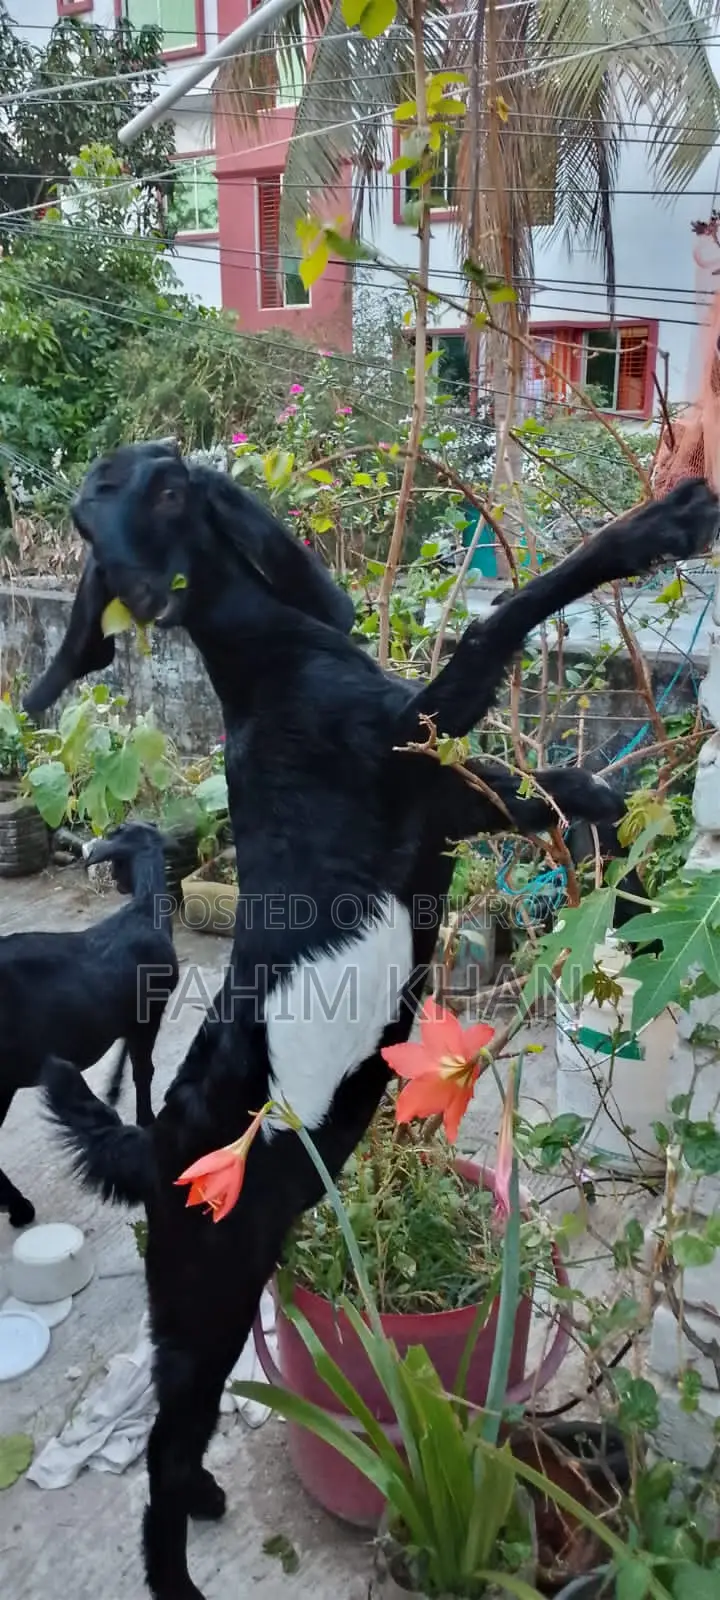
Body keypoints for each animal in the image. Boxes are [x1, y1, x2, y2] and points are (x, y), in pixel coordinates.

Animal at [0, 821, 177, 1228]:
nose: (119, 885)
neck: (145, 909)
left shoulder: (131, 1014)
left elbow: (127, 1055)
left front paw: (112, 1089)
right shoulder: (151, 1010)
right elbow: (143, 1068)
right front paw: (146, 1118)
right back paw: (19, 1207)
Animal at [24, 442, 717, 1600]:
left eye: (157, 491)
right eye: (89, 525)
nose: (143, 594)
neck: (266, 663)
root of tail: (153, 1146)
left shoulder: (471, 792)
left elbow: (582, 792)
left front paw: (632, 899)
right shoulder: (430, 752)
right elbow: (499, 624)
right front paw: (660, 527)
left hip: (208, 1296)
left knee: (178, 1433)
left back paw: (205, 1495)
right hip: (206, 1292)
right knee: (160, 1454)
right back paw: (179, 1563)